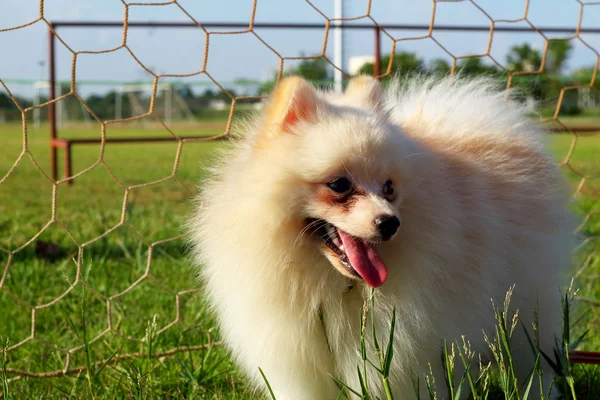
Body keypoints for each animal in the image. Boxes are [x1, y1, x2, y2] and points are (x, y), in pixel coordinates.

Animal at [190, 74, 580, 396]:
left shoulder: (406, 354)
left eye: (389, 187)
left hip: (525, 304)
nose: (390, 222)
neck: (333, 283)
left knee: (533, 362)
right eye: (339, 185)